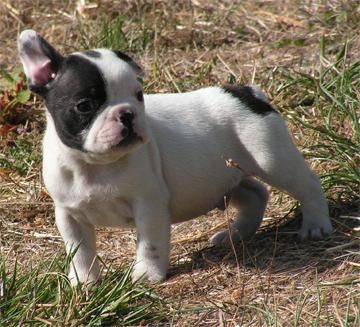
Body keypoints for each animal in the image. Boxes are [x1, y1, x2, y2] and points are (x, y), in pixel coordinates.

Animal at [16, 31, 332, 288]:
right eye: (85, 105)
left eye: (139, 95)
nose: (127, 113)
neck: (96, 166)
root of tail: (246, 92)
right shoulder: (69, 215)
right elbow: (80, 252)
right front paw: (84, 283)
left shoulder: (149, 205)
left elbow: (150, 244)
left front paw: (147, 275)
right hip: (224, 175)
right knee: (255, 192)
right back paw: (235, 235)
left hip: (271, 159)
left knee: (306, 184)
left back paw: (315, 225)